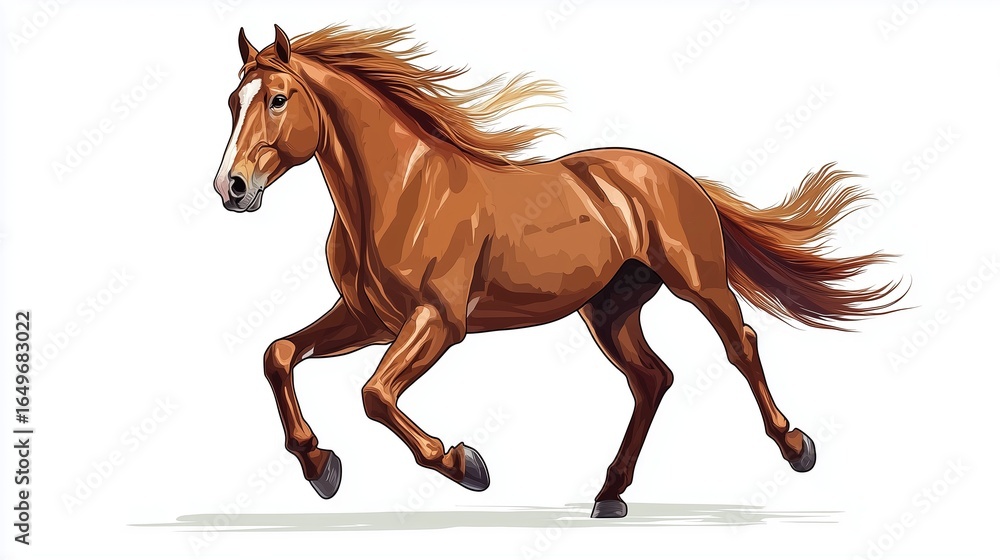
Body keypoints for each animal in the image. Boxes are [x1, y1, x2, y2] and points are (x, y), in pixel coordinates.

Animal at [214, 24, 902, 519]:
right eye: (231, 102)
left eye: (278, 99)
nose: (231, 187)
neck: (400, 190)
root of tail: (677, 176)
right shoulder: (369, 318)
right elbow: (279, 354)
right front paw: (319, 465)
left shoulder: (438, 320)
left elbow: (375, 394)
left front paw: (466, 465)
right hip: (609, 309)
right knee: (652, 378)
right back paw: (610, 493)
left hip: (698, 283)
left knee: (742, 344)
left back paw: (796, 447)